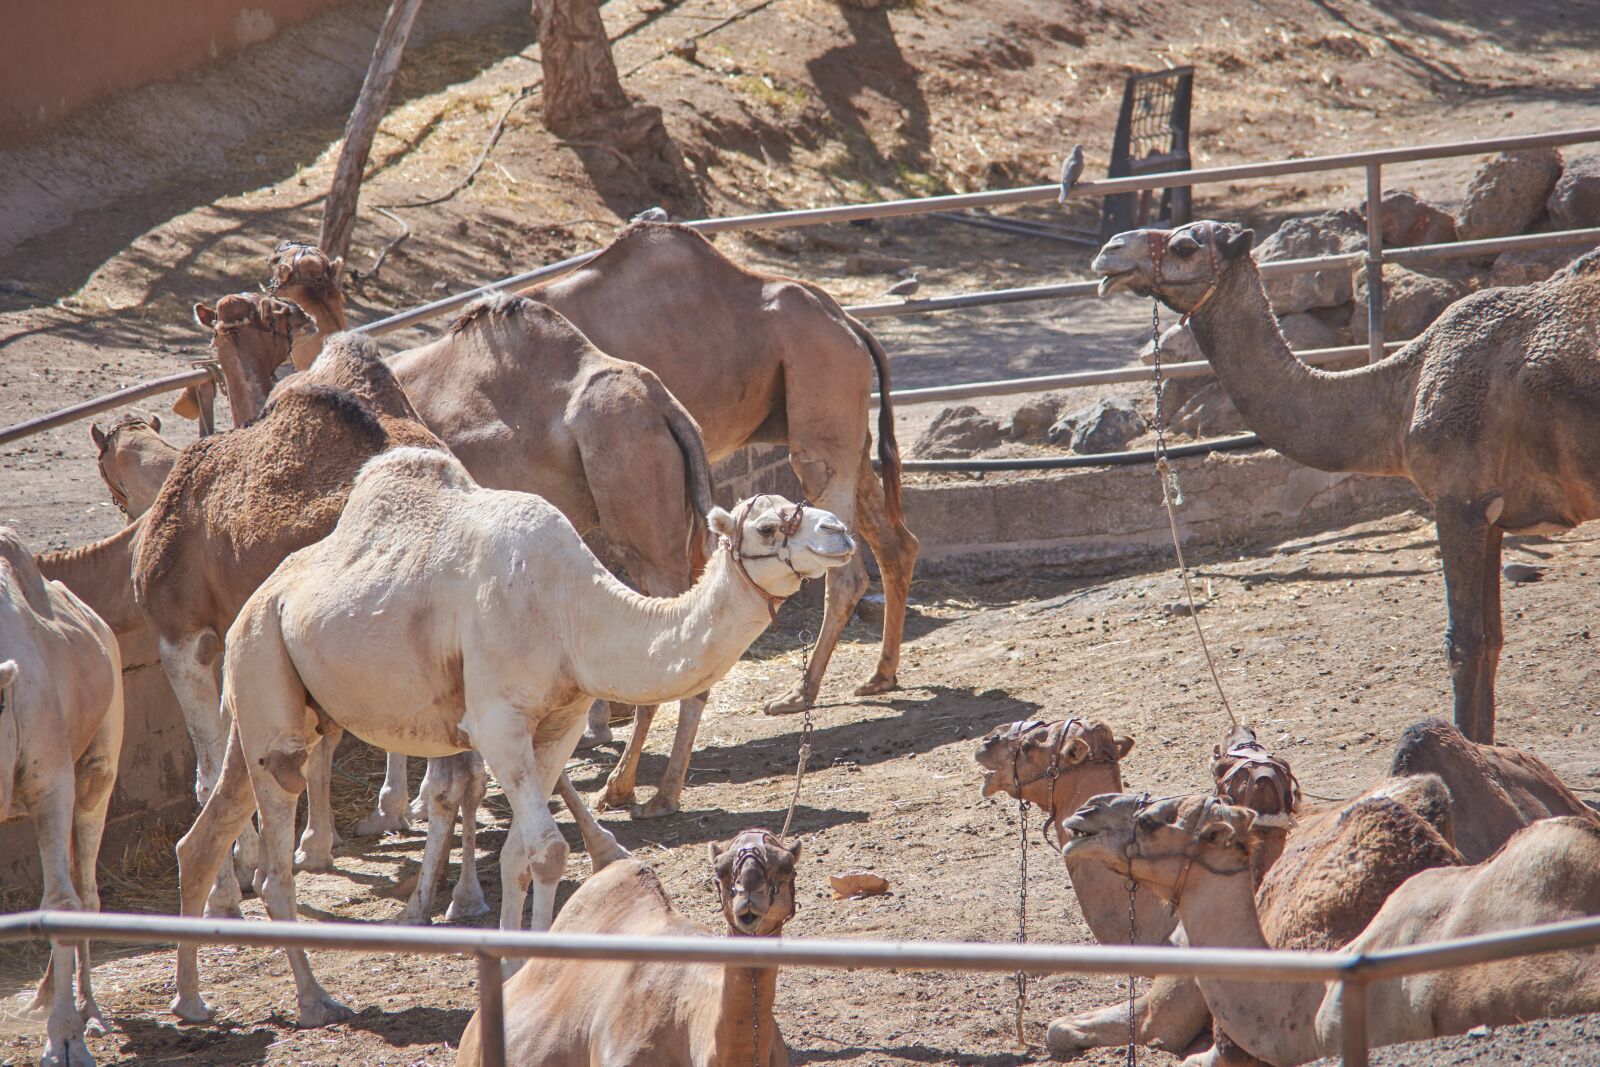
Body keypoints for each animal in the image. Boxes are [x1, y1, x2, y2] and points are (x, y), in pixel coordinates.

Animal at [168, 448, 851, 1026]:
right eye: (767, 528)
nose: (839, 532)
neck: (571, 612)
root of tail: (252, 606)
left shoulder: (560, 722)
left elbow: (519, 853)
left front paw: (521, 965)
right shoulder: (497, 722)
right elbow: (547, 850)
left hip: (277, 703)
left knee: (204, 833)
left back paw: (192, 1001)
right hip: (264, 667)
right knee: (276, 864)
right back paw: (315, 1000)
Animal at [1093, 222, 1600, 744]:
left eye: (1184, 247)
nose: (1109, 250)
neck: (1402, 393)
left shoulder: (1459, 500)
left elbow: (1464, 642)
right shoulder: (1491, 514)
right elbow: (1493, 638)